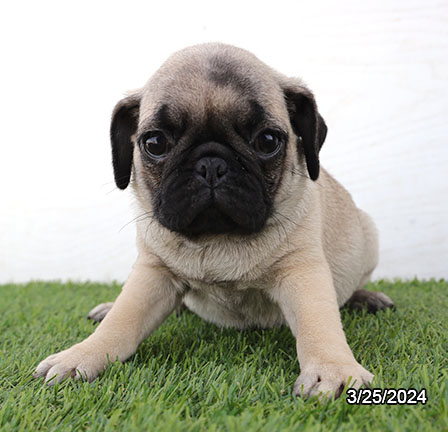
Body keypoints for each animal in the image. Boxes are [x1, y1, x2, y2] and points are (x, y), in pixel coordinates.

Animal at [33, 43, 394, 398]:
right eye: (154, 143)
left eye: (267, 141)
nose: (210, 164)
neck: (218, 238)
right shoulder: (153, 272)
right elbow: (123, 319)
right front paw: (81, 354)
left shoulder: (302, 271)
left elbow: (319, 323)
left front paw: (334, 370)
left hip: (369, 237)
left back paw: (365, 298)